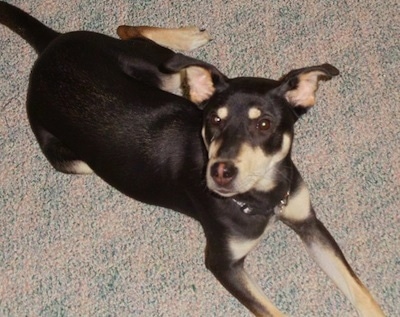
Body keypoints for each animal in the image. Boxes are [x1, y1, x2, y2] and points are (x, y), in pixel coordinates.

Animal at [1, 2, 386, 316]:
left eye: (264, 124)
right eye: (214, 120)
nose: (220, 173)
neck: (263, 197)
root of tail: (50, 45)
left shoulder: (308, 220)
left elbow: (360, 290)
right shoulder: (224, 264)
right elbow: (273, 311)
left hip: (160, 75)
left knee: (128, 29)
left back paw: (186, 38)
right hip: (75, 158)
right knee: (131, 33)